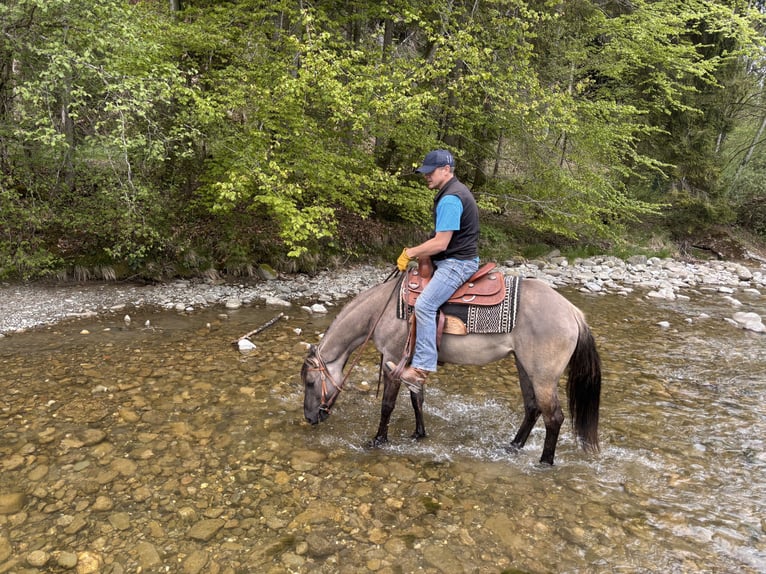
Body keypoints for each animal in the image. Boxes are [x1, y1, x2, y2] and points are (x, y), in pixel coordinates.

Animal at [301, 269, 602, 465]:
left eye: (309, 382)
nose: (310, 418)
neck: (380, 311)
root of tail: (573, 313)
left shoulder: (392, 359)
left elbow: (388, 405)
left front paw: (378, 440)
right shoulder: (411, 364)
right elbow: (417, 399)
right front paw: (418, 434)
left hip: (543, 376)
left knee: (554, 417)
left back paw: (544, 462)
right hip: (523, 366)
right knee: (533, 408)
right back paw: (513, 447)